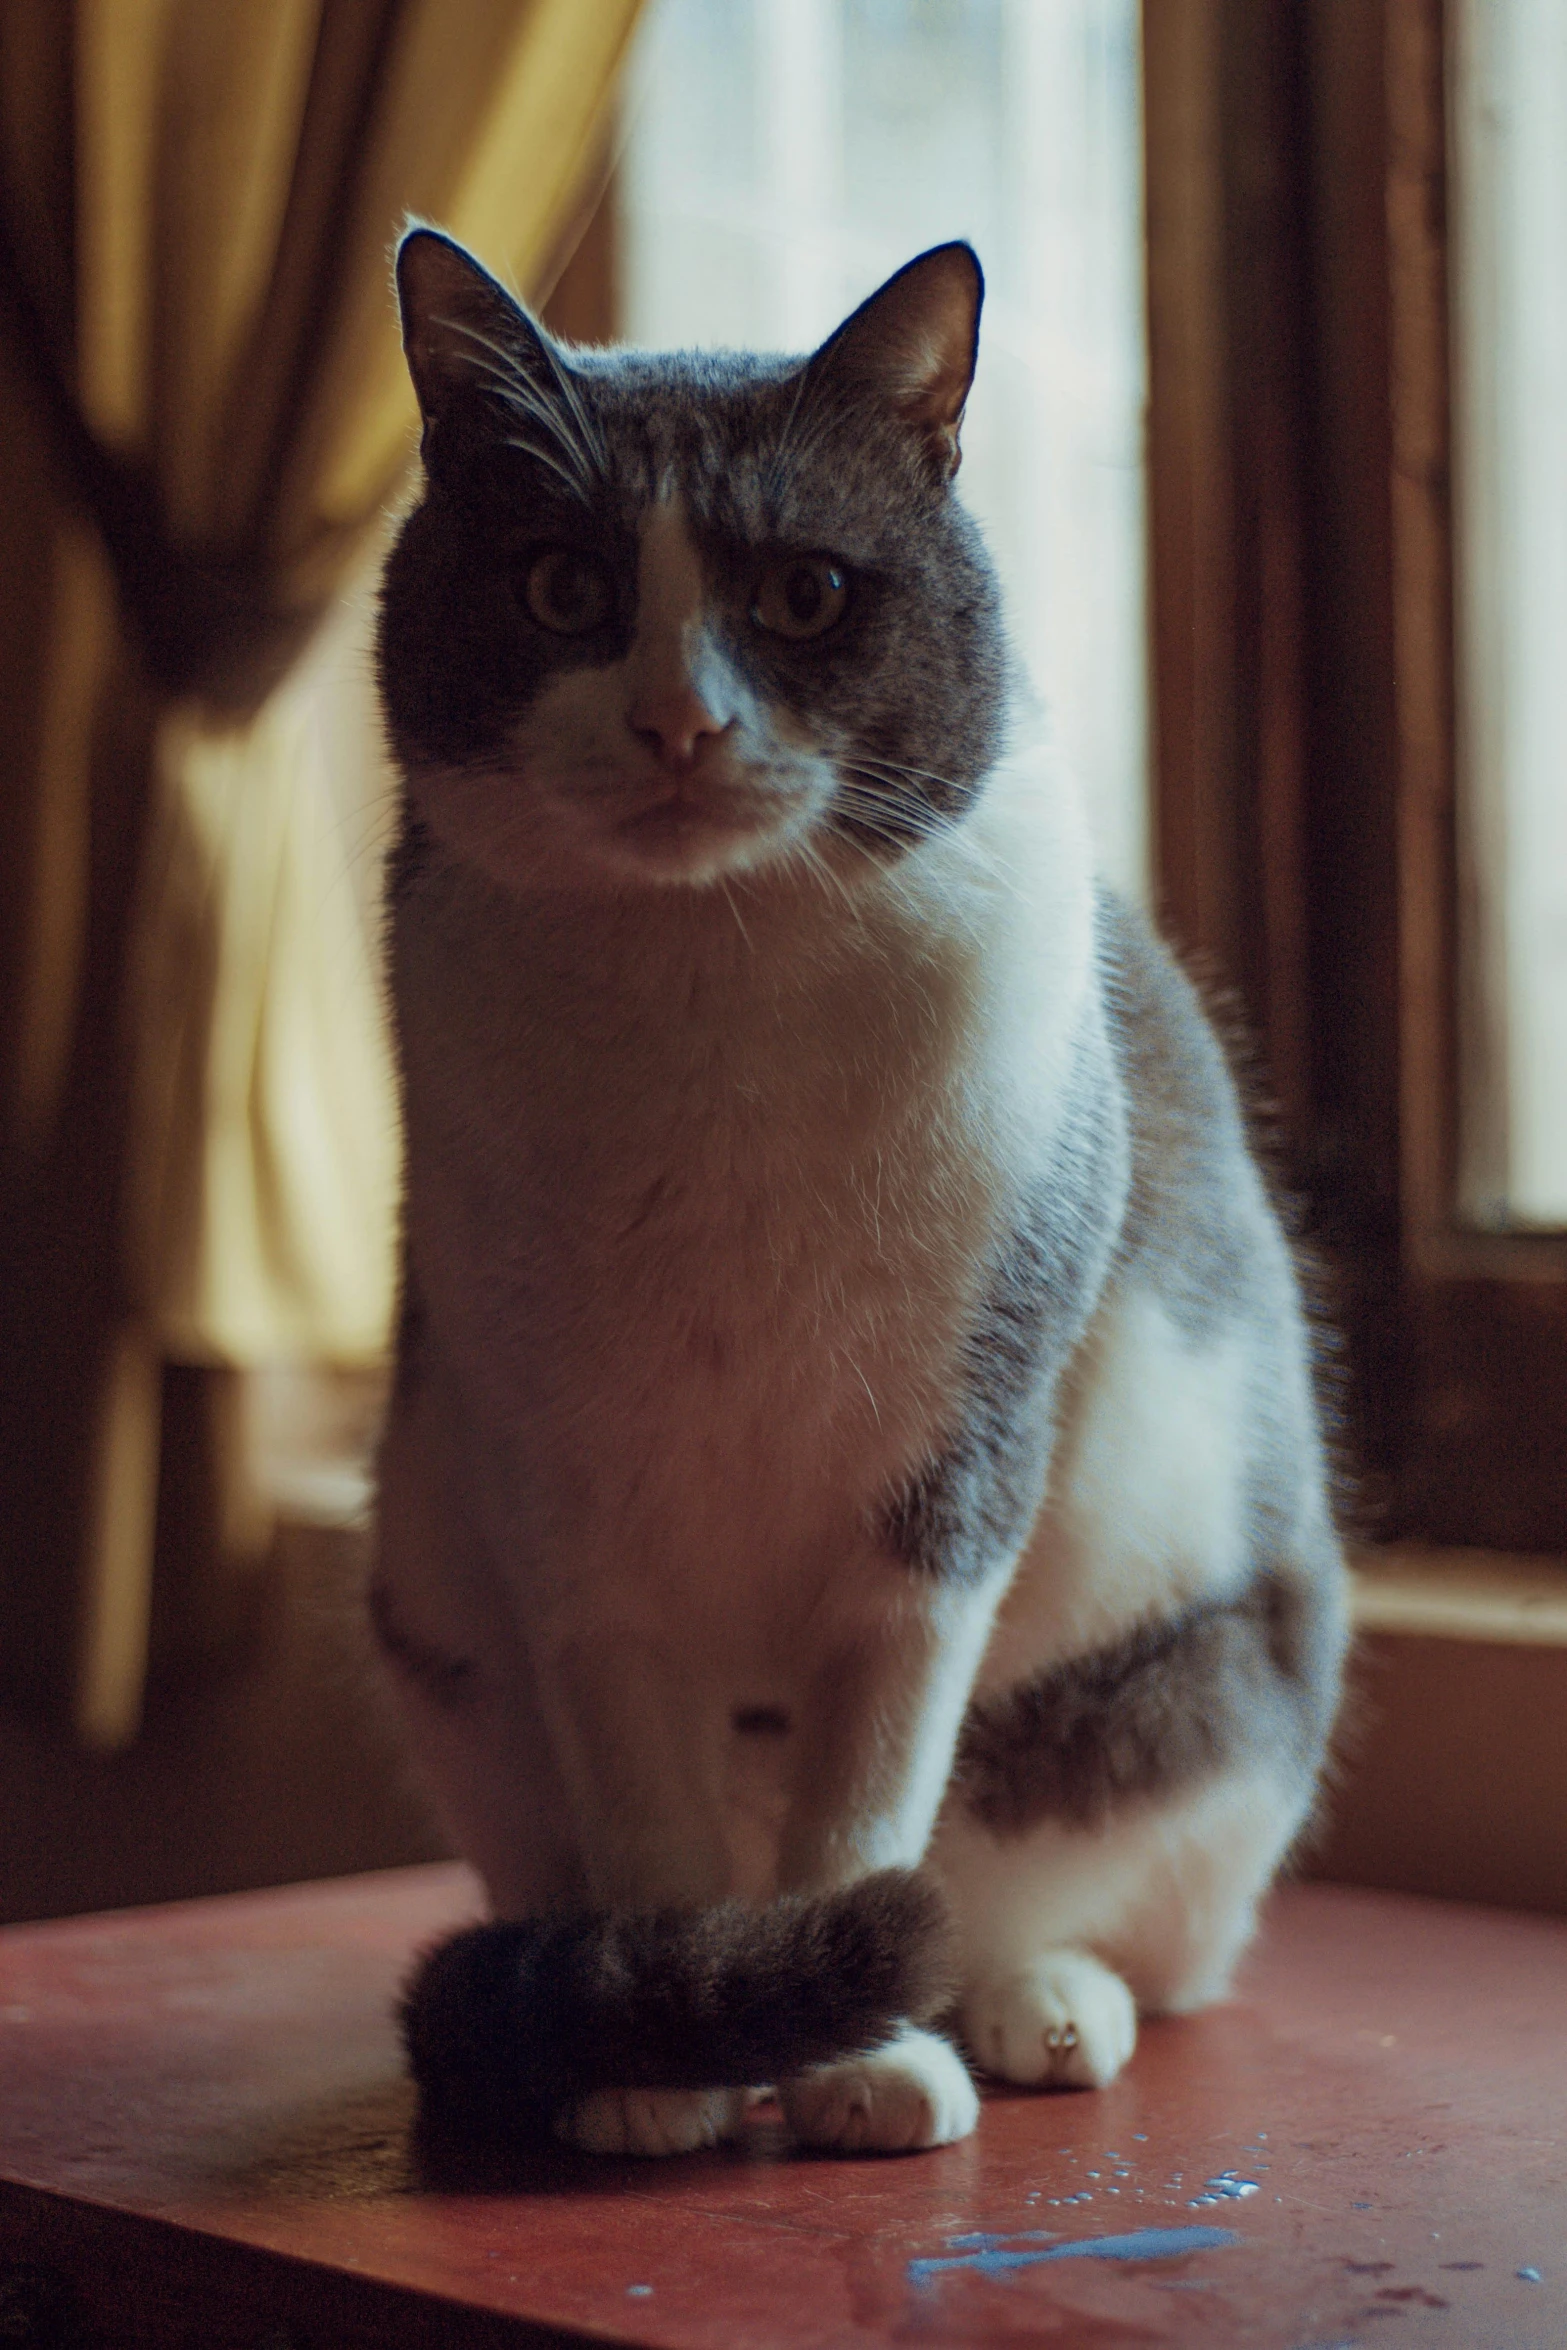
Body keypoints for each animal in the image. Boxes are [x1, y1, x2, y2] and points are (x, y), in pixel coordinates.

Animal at [371, 229, 1353, 2152]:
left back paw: (1030, 2013)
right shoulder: (557, 1507)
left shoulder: (945, 1482)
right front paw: (663, 2061)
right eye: (559, 587)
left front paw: (852, 2062)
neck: (703, 998)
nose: (678, 724)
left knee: (1092, 1910)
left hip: (1189, 1687)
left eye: (807, 597)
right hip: (439, 1636)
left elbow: (870, 1804)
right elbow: (649, 1811)